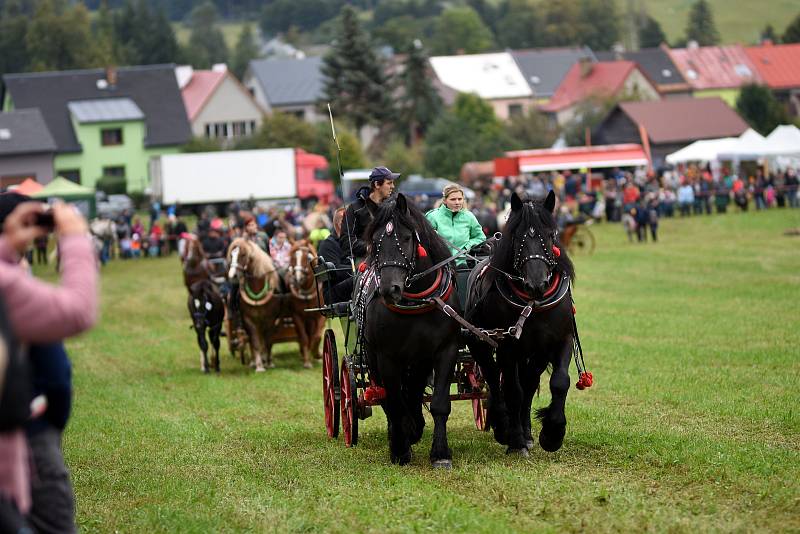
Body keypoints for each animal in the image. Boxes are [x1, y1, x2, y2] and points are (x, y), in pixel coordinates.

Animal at [227, 239, 282, 372]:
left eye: (243, 255)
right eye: (231, 255)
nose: (232, 275)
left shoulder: (270, 319)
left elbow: (268, 340)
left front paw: (269, 362)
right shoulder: (249, 320)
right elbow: (255, 342)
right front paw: (259, 366)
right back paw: (253, 361)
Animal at [362, 196, 462, 468]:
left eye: (406, 238)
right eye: (375, 241)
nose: (389, 289)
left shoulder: (444, 350)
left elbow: (438, 403)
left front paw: (440, 453)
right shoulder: (387, 356)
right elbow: (394, 402)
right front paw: (399, 449)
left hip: (419, 360)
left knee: (414, 390)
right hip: (373, 356)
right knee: (386, 397)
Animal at [466, 193, 580, 456]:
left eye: (550, 235)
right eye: (518, 237)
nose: (536, 284)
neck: (532, 305)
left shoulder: (558, 341)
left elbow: (558, 382)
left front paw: (552, 433)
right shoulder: (508, 347)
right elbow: (512, 390)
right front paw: (515, 440)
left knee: (528, 383)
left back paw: (526, 432)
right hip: (481, 344)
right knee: (493, 378)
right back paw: (503, 426)